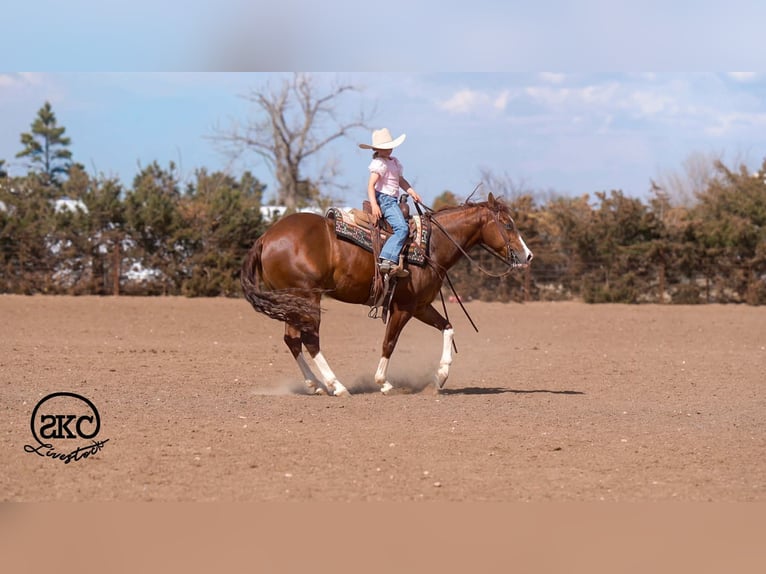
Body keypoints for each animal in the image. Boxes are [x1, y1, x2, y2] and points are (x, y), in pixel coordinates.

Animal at [240, 192, 533, 396]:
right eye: (507, 225)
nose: (528, 255)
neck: (431, 245)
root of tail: (265, 237)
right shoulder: (403, 307)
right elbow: (389, 342)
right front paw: (383, 383)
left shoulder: (420, 305)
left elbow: (448, 327)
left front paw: (440, 377)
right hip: (308, 297)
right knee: (310, 340)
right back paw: (336, 385)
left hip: (293, 301)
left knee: (292, 339)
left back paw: (316, 385)